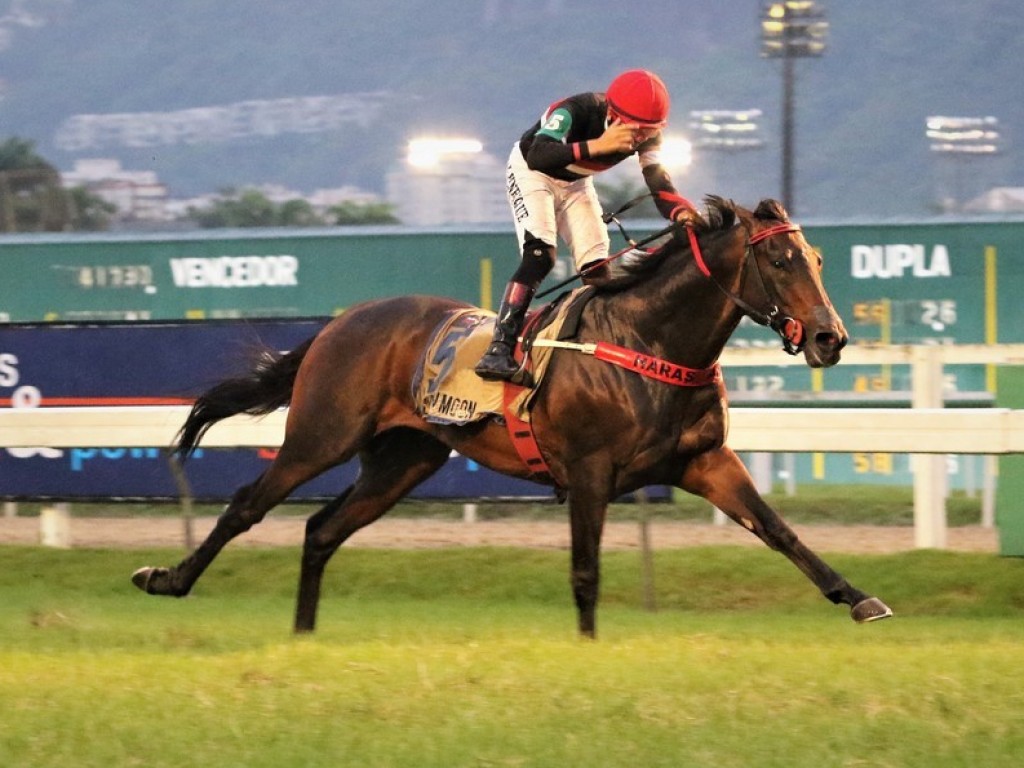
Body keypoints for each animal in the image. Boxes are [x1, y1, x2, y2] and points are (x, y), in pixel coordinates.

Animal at [132, 196, 892, 638]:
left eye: (816, 256)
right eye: (780, 258)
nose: (831, 338)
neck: (649, 340)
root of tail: (339, 323)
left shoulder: (704, 461)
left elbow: (780, 532)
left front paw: (860, 598)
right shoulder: (589, 470)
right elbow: (585, 571)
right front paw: (589, 646)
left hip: (404, 459)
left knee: (322, 530)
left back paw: (304, 633)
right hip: (322, 435)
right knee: (247, 504)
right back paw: (167, 579)